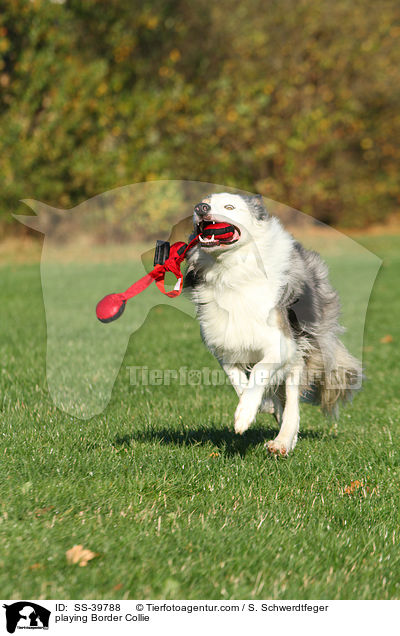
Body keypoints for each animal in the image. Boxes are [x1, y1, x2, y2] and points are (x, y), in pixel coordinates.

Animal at [184, 191, 362, 454]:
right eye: (205, 202)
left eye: (229, 207)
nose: (200, 208)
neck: (230, 269)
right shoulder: (224, 342)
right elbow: (237, 379)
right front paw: (256, 406)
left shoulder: (282, 342)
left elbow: (260, 372)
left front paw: (244, 416)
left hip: (304, 346)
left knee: (292, 397)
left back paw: (283, 441)